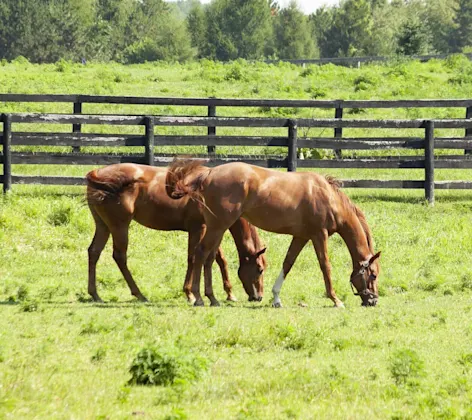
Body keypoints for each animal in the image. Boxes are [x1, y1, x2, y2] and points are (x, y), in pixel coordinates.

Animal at [86, 163, 268, 306]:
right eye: (259, 269)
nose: (258, 297)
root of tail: (97, 173)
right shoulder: (198, 229)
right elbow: (193, 258)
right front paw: (191, 294)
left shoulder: (212, 229)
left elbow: (220, 259)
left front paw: (229, 293)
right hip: (120, 226)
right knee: (120, 256)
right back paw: (139, 294)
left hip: (103, 226)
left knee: (94, 252)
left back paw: (95, 294)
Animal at [166, 161, 380, 308]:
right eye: (374, 275)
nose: (373, 300)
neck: (328, 196)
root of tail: (208, 173)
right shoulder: (319, 235)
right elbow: (325, 266)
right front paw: (335, 299)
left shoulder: (302, 237)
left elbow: (288, 263)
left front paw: (276, 297)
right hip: (217, 226)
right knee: (201, 254)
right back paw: (198, 298)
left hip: (217, 228)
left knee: (209, 258)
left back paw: (212, 298)